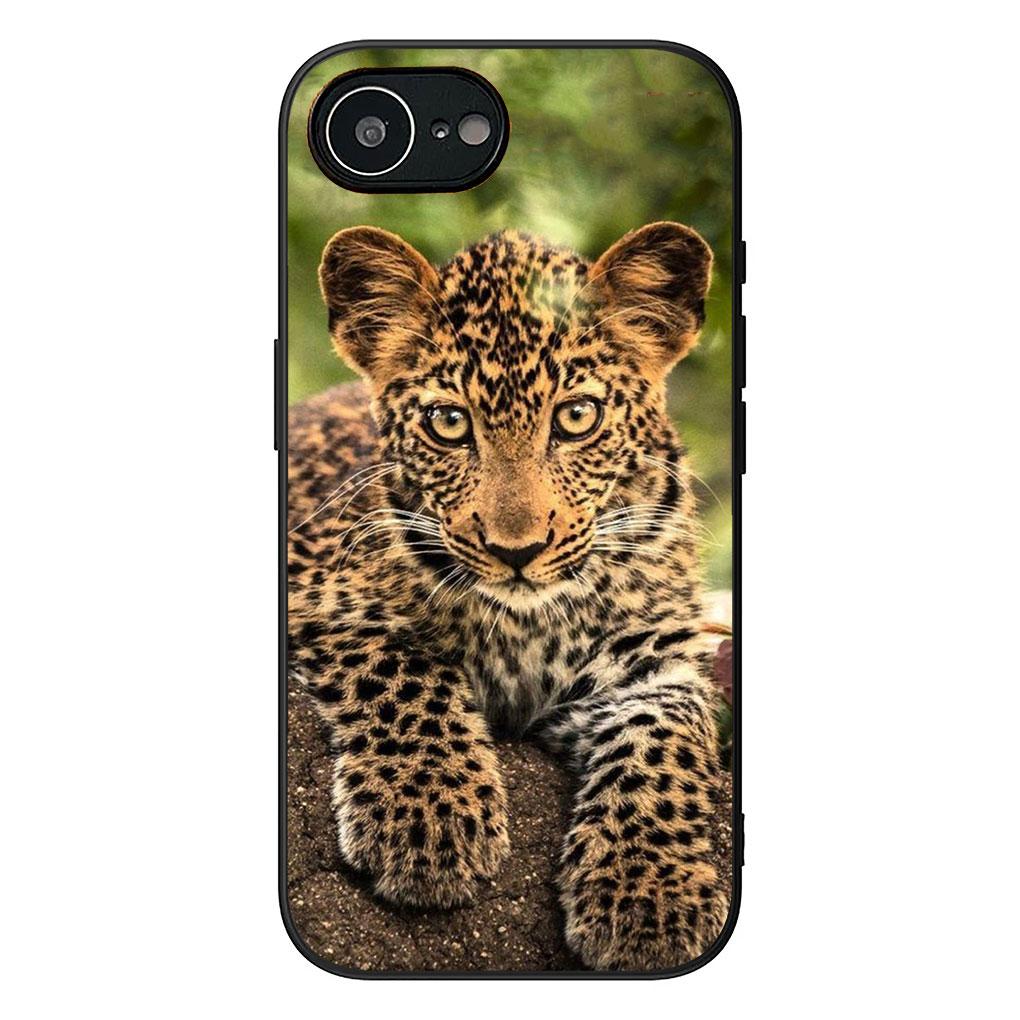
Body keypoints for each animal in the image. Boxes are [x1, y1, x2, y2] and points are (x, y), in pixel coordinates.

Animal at [287, 221, 731, 971]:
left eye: (577, 417)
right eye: (447, 422)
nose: (515, 550)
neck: (529, 625)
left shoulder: (654, 660)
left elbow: (666, 742)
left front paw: (650, 897)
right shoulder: (316, 599)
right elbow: (402, 666)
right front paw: (428, 820)